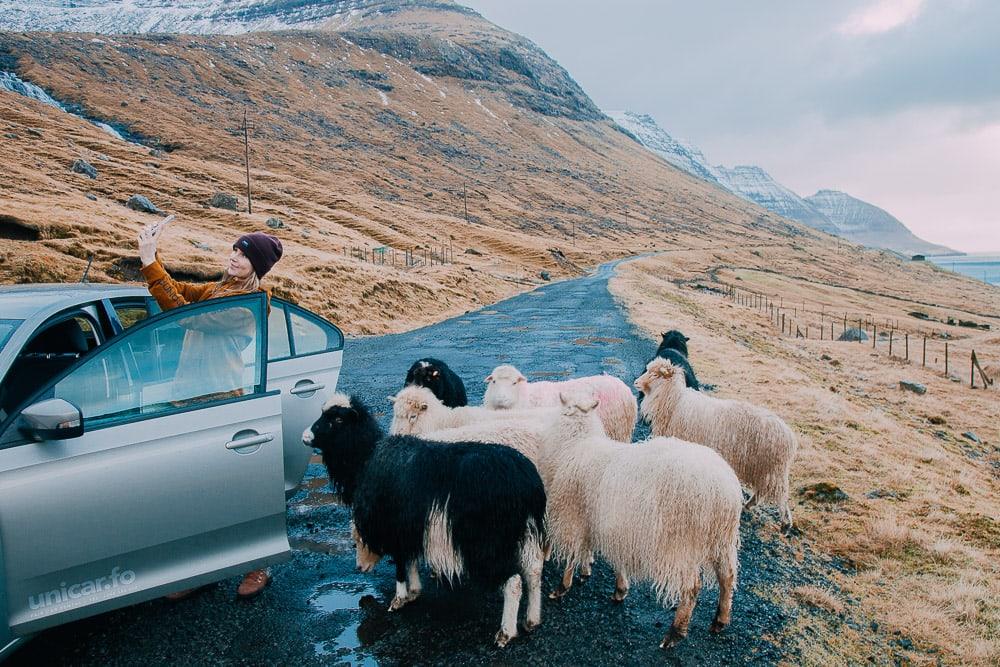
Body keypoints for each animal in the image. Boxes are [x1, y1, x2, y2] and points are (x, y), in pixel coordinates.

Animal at [304, 392, 548, 648]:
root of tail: (526, 481)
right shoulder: (410, 526)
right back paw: (532, 620)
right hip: (525, 531)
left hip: (488, 542)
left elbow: (400, 562)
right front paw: (414, 591)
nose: (305, 436)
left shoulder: (395, 526)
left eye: (337, 420)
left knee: (513, 582)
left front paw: (399, 599)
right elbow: (410, 558)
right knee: (533, 570)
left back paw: (505, 633)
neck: (368, 458)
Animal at [540, 392, 744, 648]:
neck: (577, 443)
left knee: (691, 587)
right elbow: (613, 558)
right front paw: (620, 588)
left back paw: (675, 632)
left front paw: (561, 587)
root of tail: (723, 491)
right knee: (727, 577)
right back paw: (720, 619)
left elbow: (571, 555)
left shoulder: (573, 516)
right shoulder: (608, 524)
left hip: (680, 544)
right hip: (722, 541)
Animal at [640, 358, 796, 528]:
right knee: (762, 492)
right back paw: (748, 505)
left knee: (781, 495)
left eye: (655, 374)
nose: (636, 382)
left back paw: (785, 522)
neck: (674, 400)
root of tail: (789, 435)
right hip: (765, 470)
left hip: (773, 471)